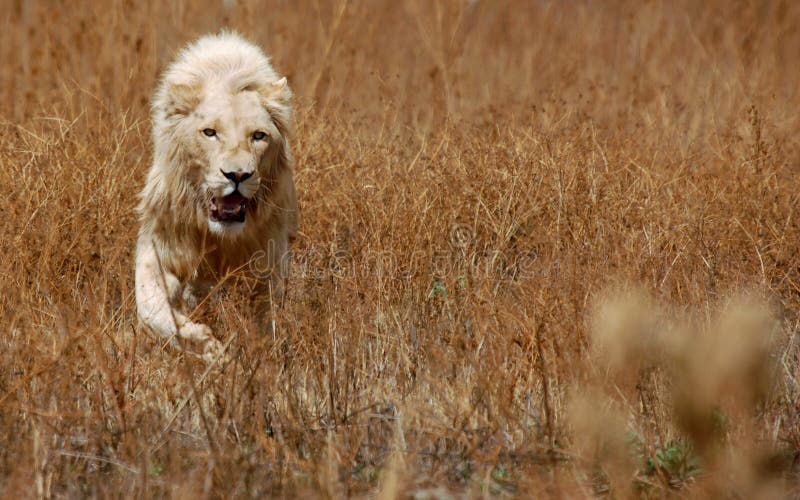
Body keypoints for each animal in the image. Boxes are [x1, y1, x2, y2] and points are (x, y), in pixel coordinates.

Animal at [136, 32, 298, 360]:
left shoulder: (267, 265)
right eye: (209, 132)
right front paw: (205, 345)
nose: (237, 175)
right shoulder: (160, 245)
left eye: (258, 136)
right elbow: (152, 306)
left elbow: (263, 322)